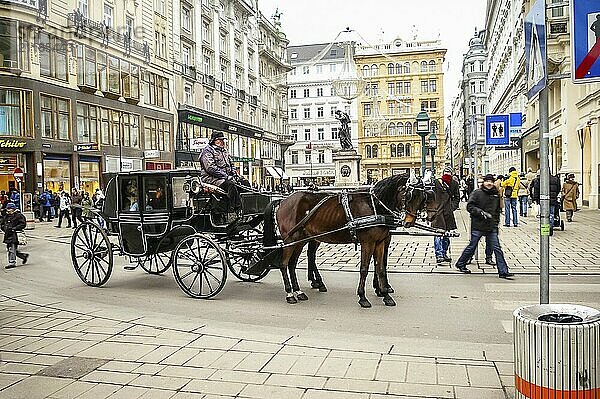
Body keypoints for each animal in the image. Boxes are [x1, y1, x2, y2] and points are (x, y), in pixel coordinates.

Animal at [264, 173, 428, 308]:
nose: (409, 222)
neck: (374, 206)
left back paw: (299, 291)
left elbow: (381, 268)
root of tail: (283, 200)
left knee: (294, 264)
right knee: (284, 264)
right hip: (290, 239)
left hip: (301, 239)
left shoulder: (380, 242)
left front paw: (385, 294)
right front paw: (363, 297)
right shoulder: (368, 242)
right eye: (409, 195)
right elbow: (364, 268)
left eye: (422, 197)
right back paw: (290, 293)